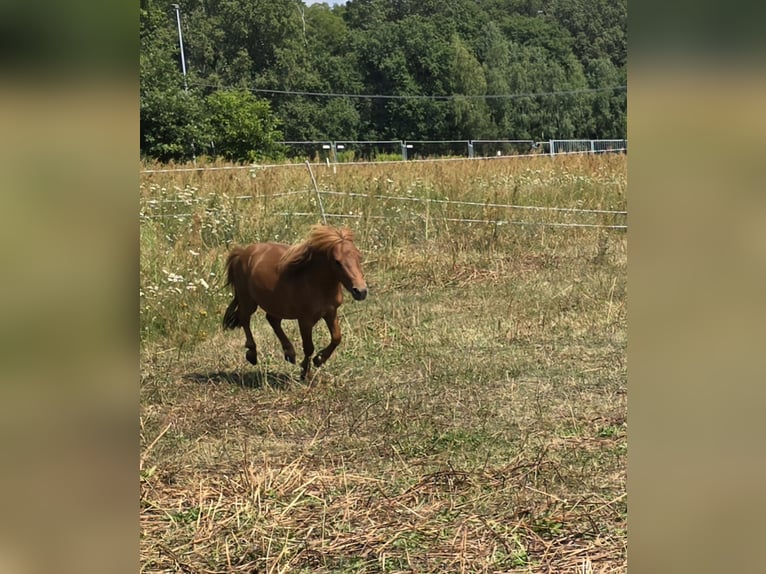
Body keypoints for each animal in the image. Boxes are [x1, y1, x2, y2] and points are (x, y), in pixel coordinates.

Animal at [222, 226, 368, 382]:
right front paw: (306, 374)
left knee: (272, 320)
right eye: (337, 261)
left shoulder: (331, 312)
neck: (316, 284)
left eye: (359, 256)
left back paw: (289, 353)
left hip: (276, 304)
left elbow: (336, 338)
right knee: (245, 318)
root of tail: (242, 253)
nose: (361, 291)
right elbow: (309, 347)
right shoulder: (305, 320)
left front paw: (319, 360)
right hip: (248, 301)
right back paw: (252, 354)